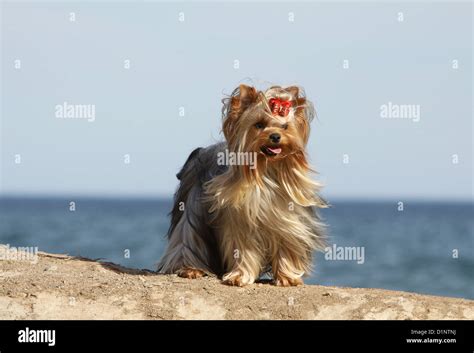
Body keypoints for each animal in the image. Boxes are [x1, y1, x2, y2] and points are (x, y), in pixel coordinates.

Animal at [157, 84, 328, 284]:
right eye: (259, 124)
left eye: (285, 126)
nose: (275, 136)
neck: (266, 170)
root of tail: (202, 151)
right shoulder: (238, 219)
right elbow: (242, 248)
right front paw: (239, 276)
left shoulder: (287, 218)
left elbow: (287, 244)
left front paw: (287, 278)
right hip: (193, 204)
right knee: (187, 235)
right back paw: (190, 268)